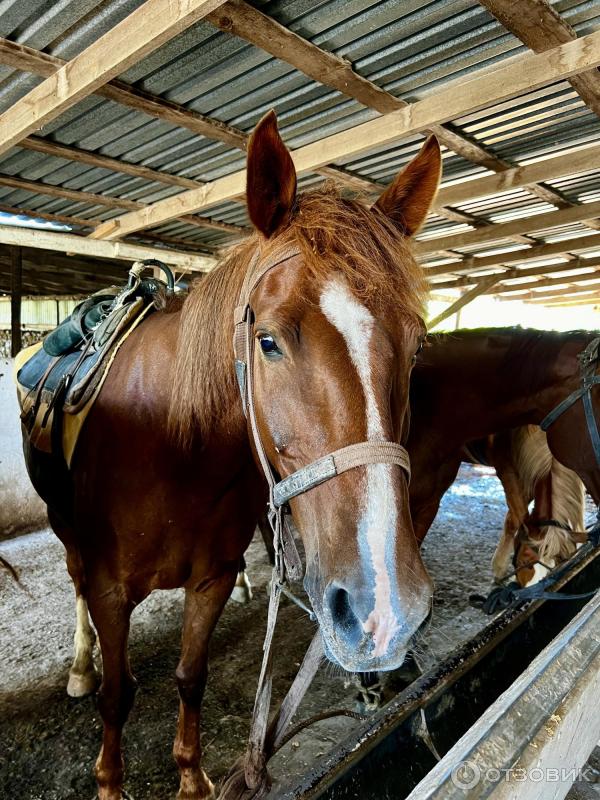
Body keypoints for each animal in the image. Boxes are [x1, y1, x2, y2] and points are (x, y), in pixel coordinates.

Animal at [21, 114, 440, 800]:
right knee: (75, 583)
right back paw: (82, 665)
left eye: (416, 347)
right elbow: (116, 695)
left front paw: (193, 778)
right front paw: (109, 778)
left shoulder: (210, 580)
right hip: (66, 529)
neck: (174, 452)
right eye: (266, 340)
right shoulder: (112, 591)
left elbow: (191, 677)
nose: (385, 612)